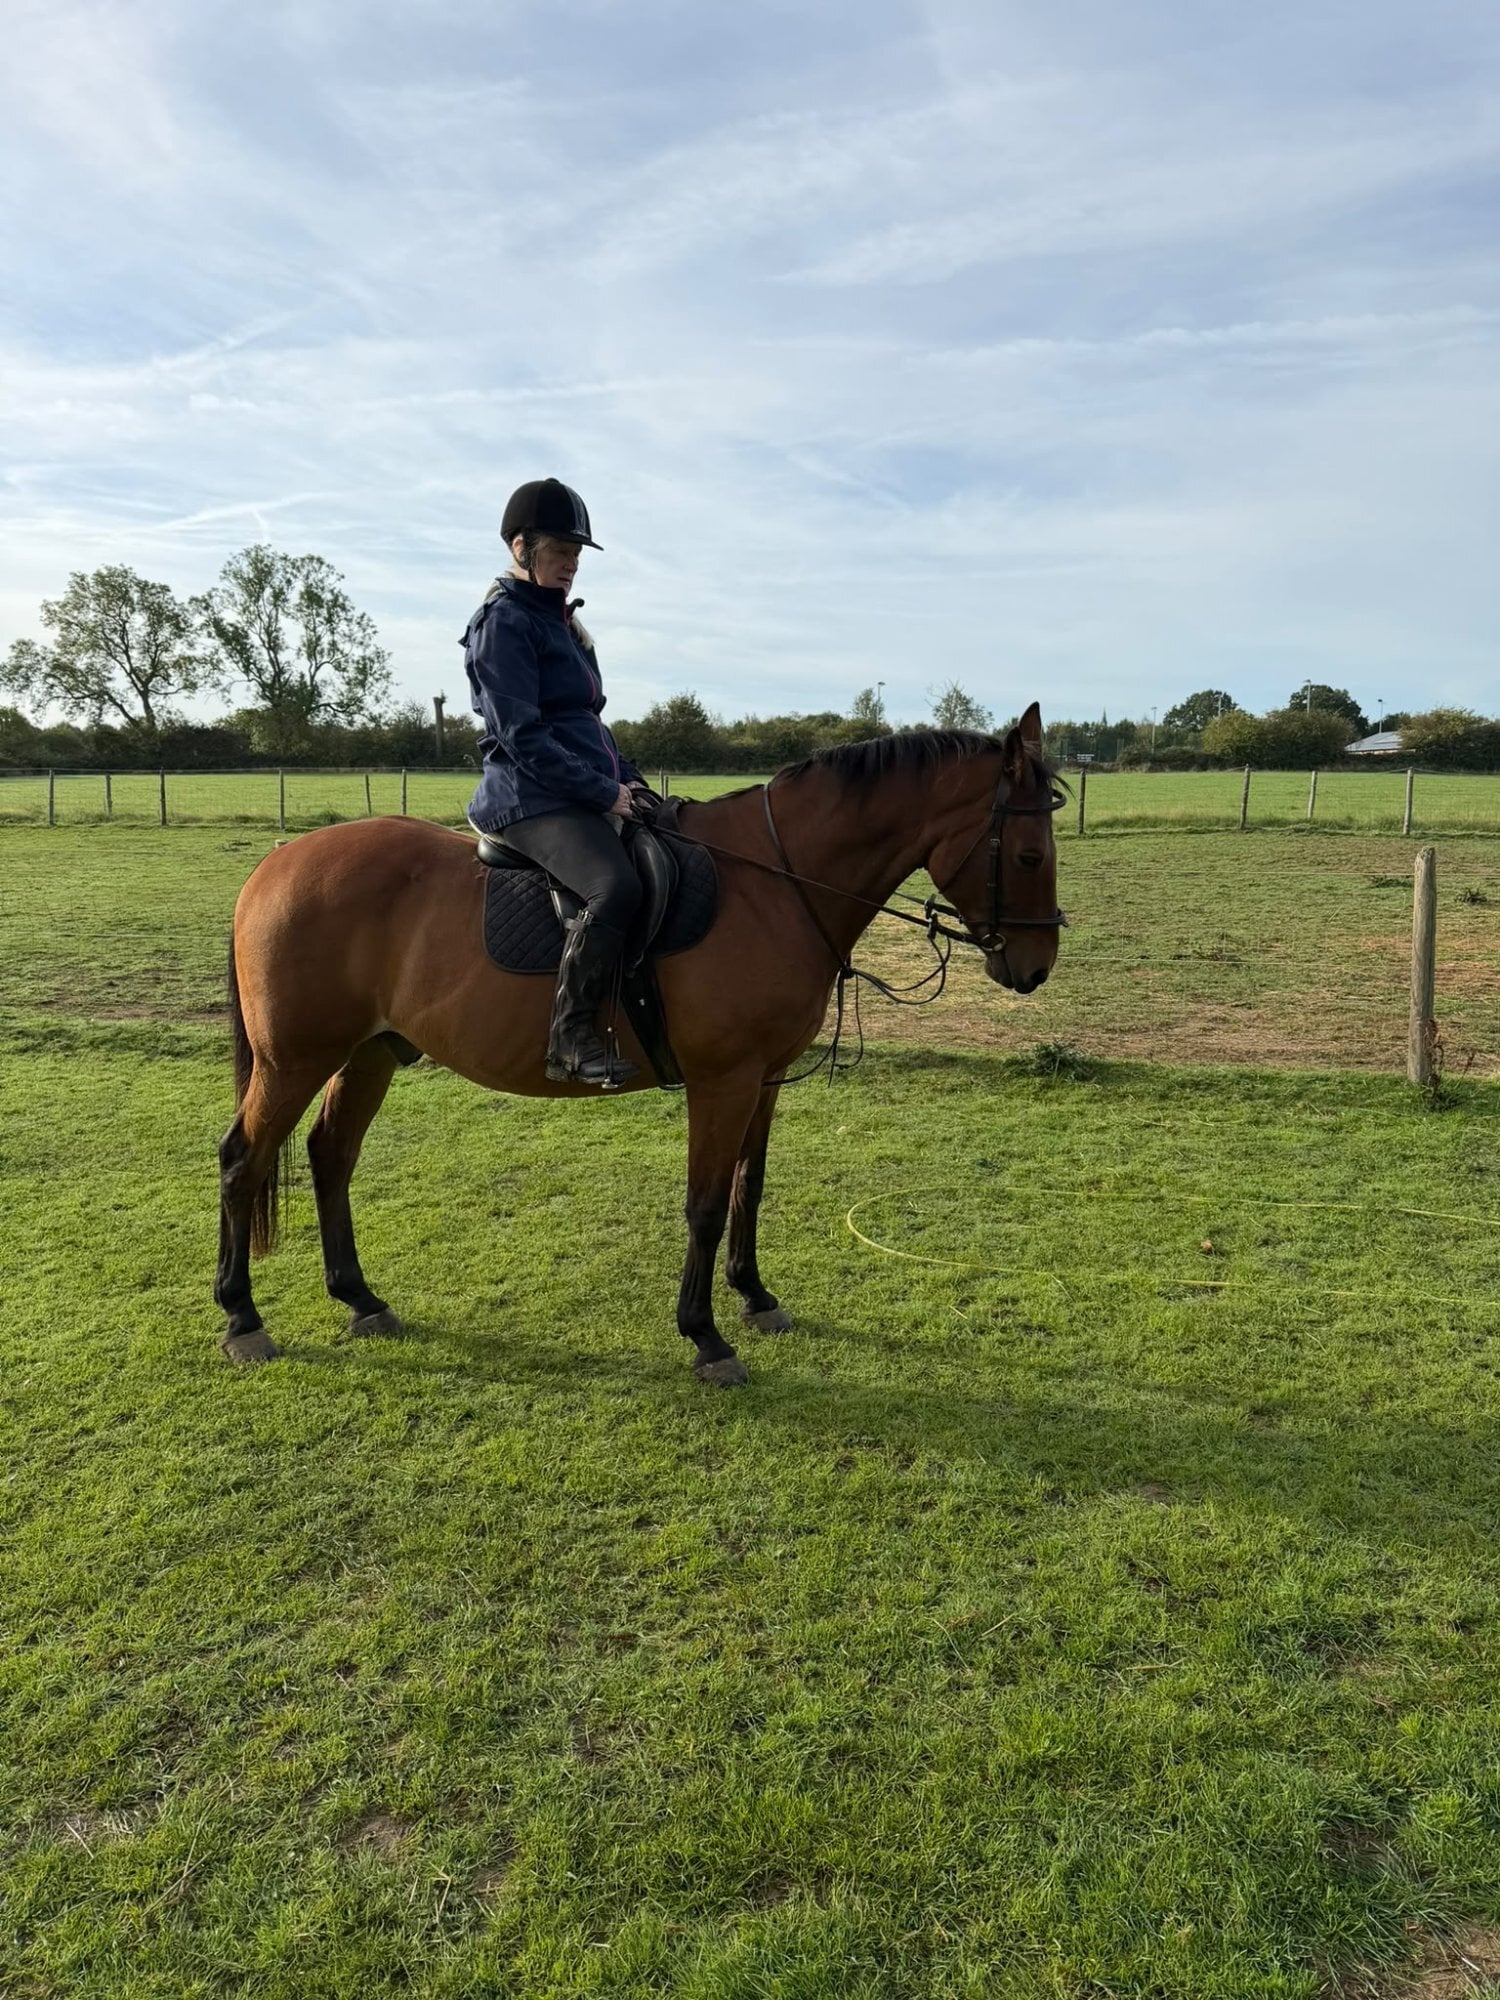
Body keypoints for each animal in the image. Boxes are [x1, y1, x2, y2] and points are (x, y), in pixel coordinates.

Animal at [217, 704, 1065, 1386]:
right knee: (242, 1161)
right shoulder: (723, 1080)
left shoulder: (764, 1079)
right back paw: (242, 1319)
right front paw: (706, 1338)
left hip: (368, 1053)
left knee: (330, 1154)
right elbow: (704, 1204)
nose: (1035, 968)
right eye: (1028, 855)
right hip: (295, 1060)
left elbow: (748, 1187)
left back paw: (360, 1298)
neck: (776, 883)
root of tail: (275, 865)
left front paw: (755, 1296)